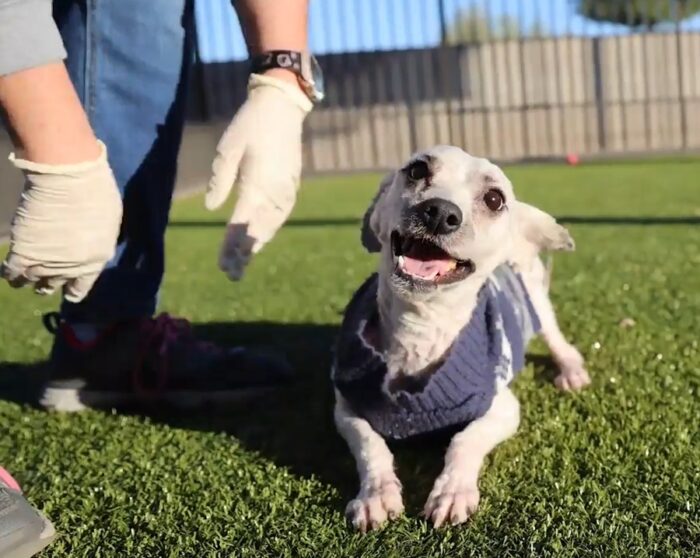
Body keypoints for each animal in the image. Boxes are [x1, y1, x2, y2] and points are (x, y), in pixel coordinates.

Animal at [332, 148, 592, 532]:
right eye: (417, 170)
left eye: (495, 199)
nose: (440, 211)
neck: (421, 329)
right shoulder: (347, 407)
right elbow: (369, 443)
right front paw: (376, 494)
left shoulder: (503, 410)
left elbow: (464, 440)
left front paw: (452, 491)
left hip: (537, 303)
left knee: (557, 338)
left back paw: (570, 369)